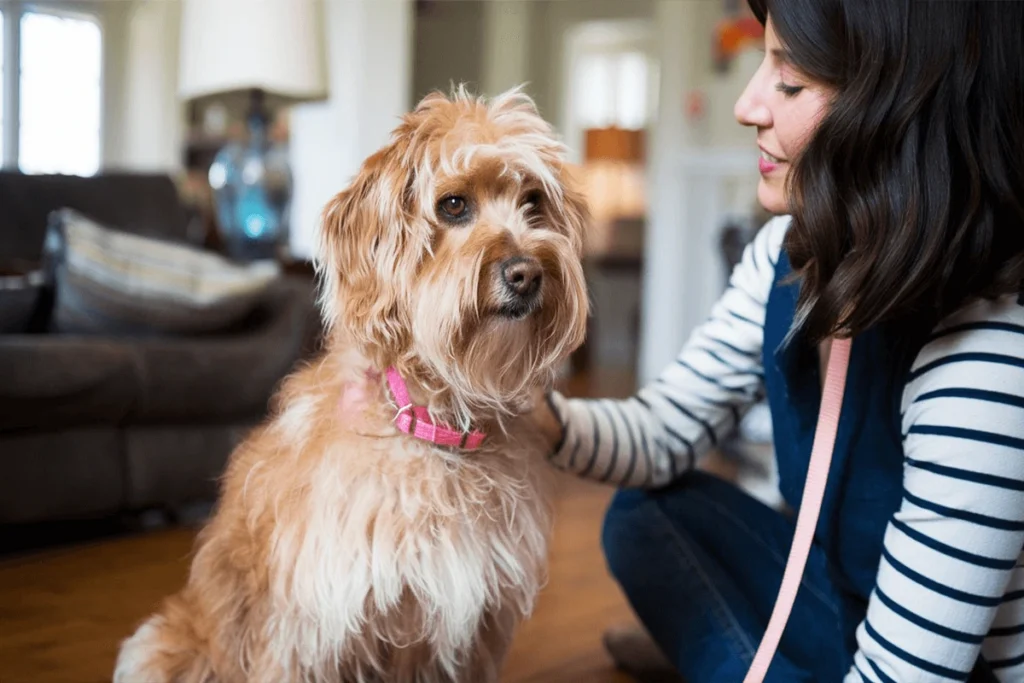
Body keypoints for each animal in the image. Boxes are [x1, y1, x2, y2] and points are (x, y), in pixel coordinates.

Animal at [110, 87, 593, 683]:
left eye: (533, 202)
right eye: (453, 205)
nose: (527, 272)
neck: (436, 430)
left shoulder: (473, 628)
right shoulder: (309, 627)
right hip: (163, 648)